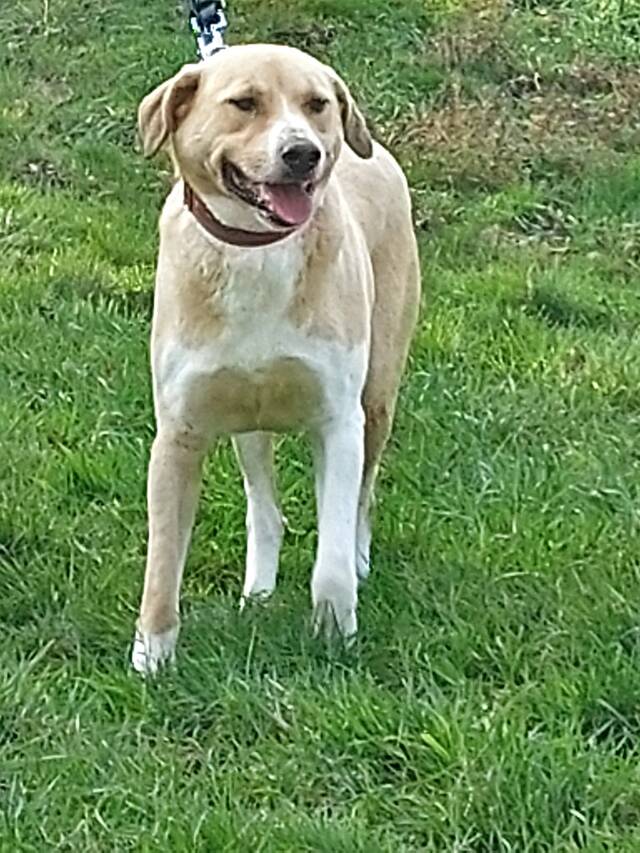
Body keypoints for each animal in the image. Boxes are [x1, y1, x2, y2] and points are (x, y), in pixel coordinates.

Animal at [132, 44, 420, 674]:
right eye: (244, 103)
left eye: (316, 104)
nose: (303, 153)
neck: (255, 250)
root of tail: (376, 153)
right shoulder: (178, 433)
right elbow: (163, 562)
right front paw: (152, 656)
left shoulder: (339, 421)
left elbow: (331, 553)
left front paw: (334, 635)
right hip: (248, 424)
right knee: (265, 509)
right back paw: (258, 590)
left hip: (378, 397)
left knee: (362, 496)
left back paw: (358, 558)